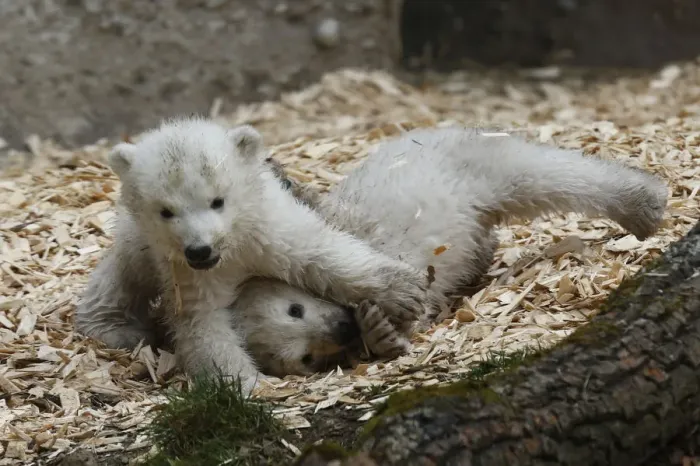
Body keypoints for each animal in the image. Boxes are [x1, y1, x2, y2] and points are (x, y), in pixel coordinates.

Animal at [74, 116, 428, 394]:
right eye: (165, 211)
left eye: (218, 200)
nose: (199, 250)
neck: (231, 248)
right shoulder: (185, 272)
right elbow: (205, 322)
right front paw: (245, 383)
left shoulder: (267, 229)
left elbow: (321, 253)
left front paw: (404, 293)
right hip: (137, 243)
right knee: (118, 281)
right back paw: (118, 328)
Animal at [224, 126, 669, 377]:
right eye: (304, 358)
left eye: (294, 309)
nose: (342, 330)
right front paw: (380, 334)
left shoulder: (343, 232)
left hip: (470, 161)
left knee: (546, 174)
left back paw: (644, 204)